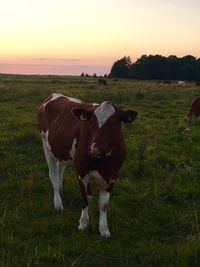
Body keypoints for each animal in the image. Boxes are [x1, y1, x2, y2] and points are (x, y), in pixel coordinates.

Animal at [37, 94, 138, 239]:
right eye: (91, 123)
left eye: (114, 124)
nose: (95, 148)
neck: (101, 162)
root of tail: (54, 95)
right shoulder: (82, 173)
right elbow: (86, 199)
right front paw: (83, 224)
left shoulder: (113, 176)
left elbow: (103, 204)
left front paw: (104, 229)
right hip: (46, 146)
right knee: (53, 175)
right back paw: (58, 203)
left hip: (62, 151)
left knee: (60, 168)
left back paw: (61, 189)